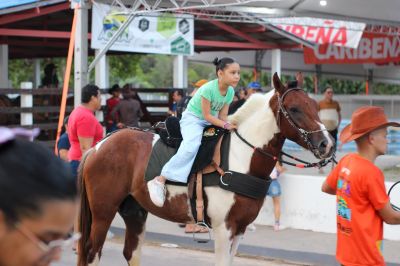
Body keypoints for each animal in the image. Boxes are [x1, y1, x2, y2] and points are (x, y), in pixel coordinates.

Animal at [78, 74, 334, 266]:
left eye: (315, 106)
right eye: (294, 109)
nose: (327, 144)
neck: (240, 156)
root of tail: (99, 146)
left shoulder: (240, 228)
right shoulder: (223, 228)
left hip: (135, 211)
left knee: (132, 253)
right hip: (103, 212)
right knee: (92, 253)